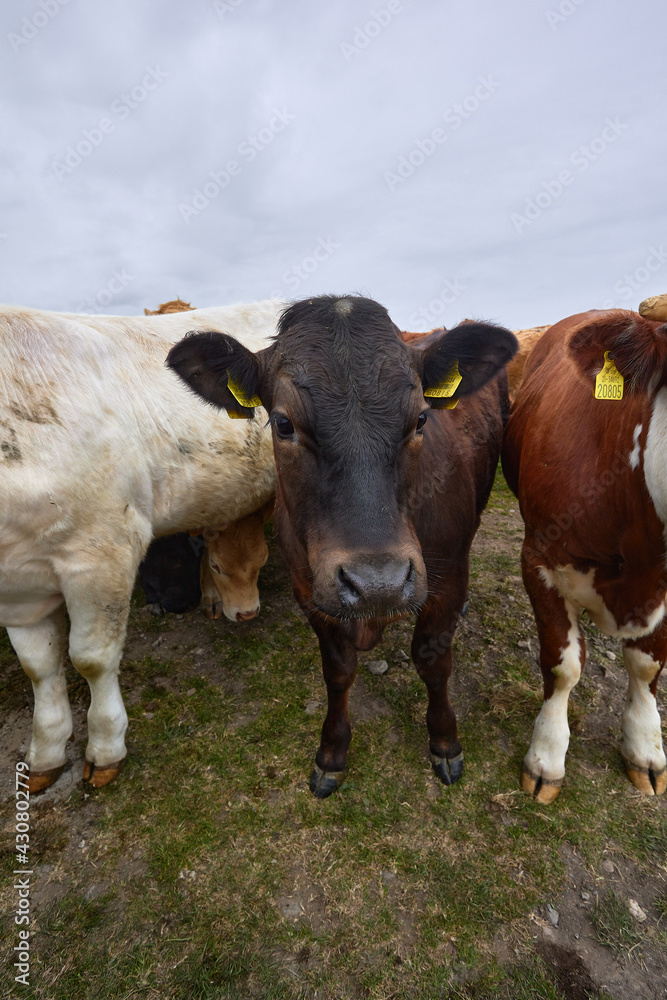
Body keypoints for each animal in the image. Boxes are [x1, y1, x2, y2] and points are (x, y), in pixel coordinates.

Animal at [0, 296, 282, 788]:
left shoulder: (102, 553)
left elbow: (91, 659)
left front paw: (105, 747)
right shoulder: (16, 584)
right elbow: (39, 666)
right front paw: (46, 752)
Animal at [167, 294, 516, 796]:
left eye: (421, 418)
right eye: (283, 423)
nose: (378, 584)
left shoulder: (447, 578)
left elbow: (432, 661)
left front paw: (445, 742)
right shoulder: (310, 592)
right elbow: (337, 672)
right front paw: (332, 752)